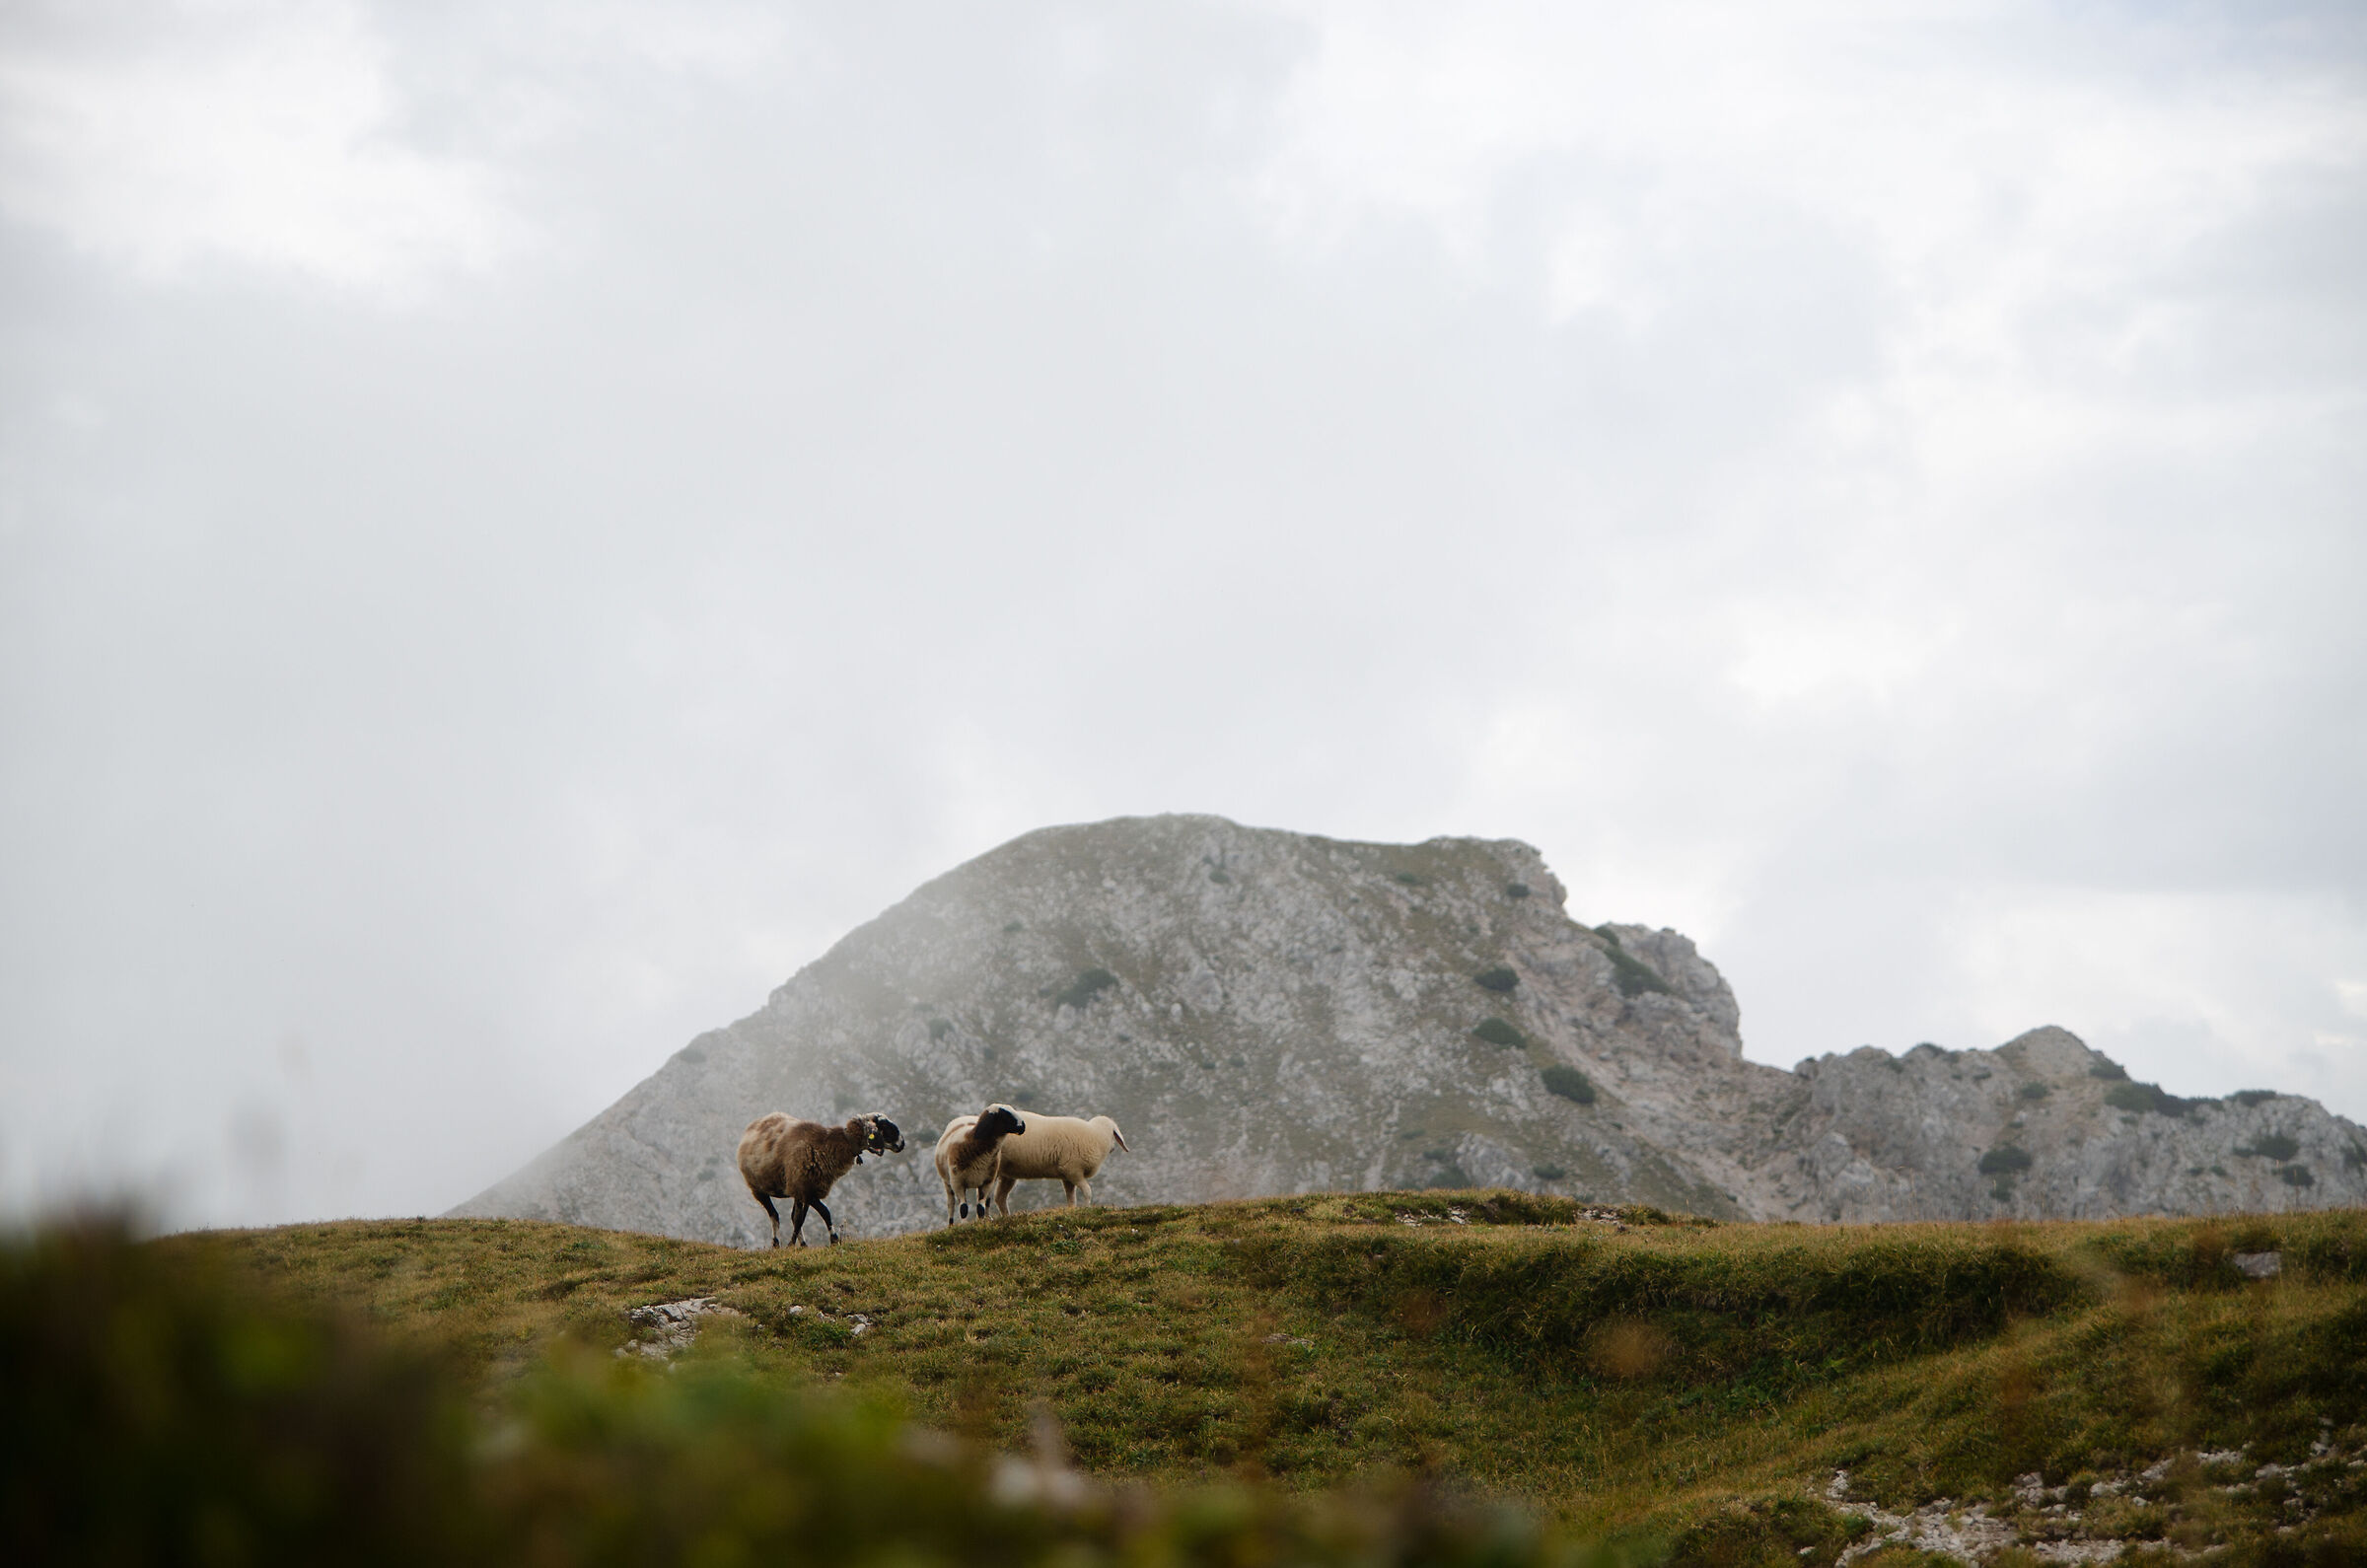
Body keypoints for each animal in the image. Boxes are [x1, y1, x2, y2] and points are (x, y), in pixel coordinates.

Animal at [736, 1111, 906, 1247]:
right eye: (885, 1126)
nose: (902, 1144)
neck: (826, 1144)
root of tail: (754, 1125)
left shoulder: (808, 1189)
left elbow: (803, 1218)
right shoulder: (805, 1190)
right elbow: (822, 1213)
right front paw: (832, 1239)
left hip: (793, 1190)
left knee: (791, 1216)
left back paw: (803, 1245)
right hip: (758, 1189)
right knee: (774, 1216)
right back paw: (776, 1244)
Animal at [990, 1111, 1129, 1216]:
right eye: (1114, 1134)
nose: (1113, 1149)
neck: (1096, 1135)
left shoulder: (1067, 1175)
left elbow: (1071, 1197)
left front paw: (1072, 1210)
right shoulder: (1073, 1170)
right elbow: (1087, 1191)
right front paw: (1086, 1208)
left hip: (1008, 1173)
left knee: (1000, 1197)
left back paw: (1006, 1217)